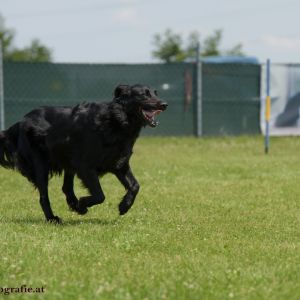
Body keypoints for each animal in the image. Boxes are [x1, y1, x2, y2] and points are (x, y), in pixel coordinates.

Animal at [0, 84, 168, 223]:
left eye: (155, 93)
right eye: (144, 94)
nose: (164, 104)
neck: (115, 120)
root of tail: (21, 122)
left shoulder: (119, 164)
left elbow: (135, 186)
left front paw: (124, 206)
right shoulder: (86, 167)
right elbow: (100, 194)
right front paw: (83, 203)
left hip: (68, 162)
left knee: (66, 188)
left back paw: (74, 205)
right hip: (41, 165)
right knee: (44, 196)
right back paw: (53, 218)